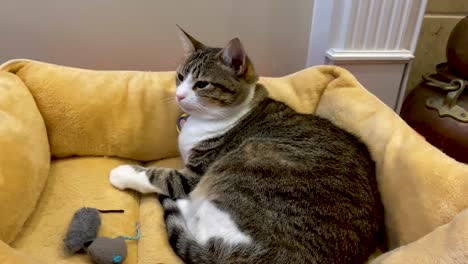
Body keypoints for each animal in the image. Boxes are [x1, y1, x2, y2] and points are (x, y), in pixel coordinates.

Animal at [109, 25, 384, 262]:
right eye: (179, 77)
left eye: (202, 84)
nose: (179, 95)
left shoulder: (195, 175)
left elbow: (162, 176)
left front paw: (122, 174)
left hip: (245, 162)